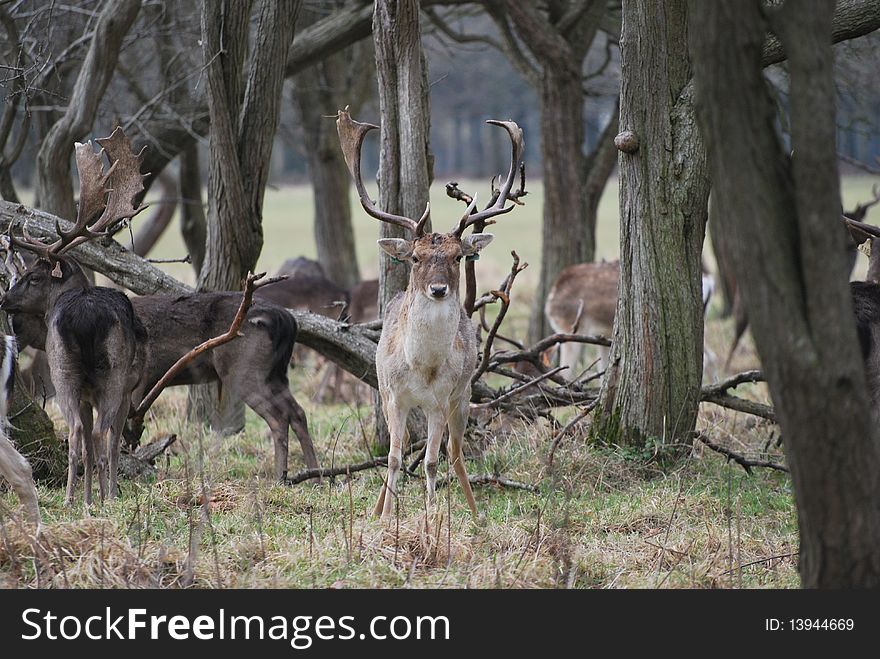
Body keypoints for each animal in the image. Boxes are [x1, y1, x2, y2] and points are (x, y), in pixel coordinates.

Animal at [334, 109, 520, 520]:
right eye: (416, 257)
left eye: (457, 257)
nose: (437, 289)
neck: (420, 369)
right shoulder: (392, 396)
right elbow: (392, 457)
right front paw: (385, 516)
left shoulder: (440, 398)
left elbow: (433, 461)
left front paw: (432, 517)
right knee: (407, 448)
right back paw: (378, 508)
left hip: (463, 396)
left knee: (455, 452)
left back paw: (475, 514)